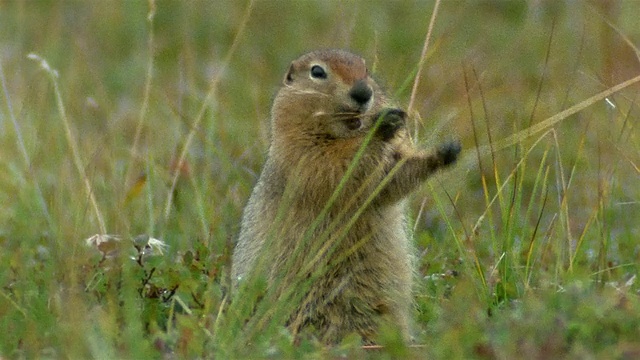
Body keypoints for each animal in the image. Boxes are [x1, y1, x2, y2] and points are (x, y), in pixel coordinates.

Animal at [232, 49, 462, 344]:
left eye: (366, 69)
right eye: (317, 72)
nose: (363, 92)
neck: (347, 132)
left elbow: (392, 177)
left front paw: (446, 150)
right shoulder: (300, 151)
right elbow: (335, 170)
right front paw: (380, 128)